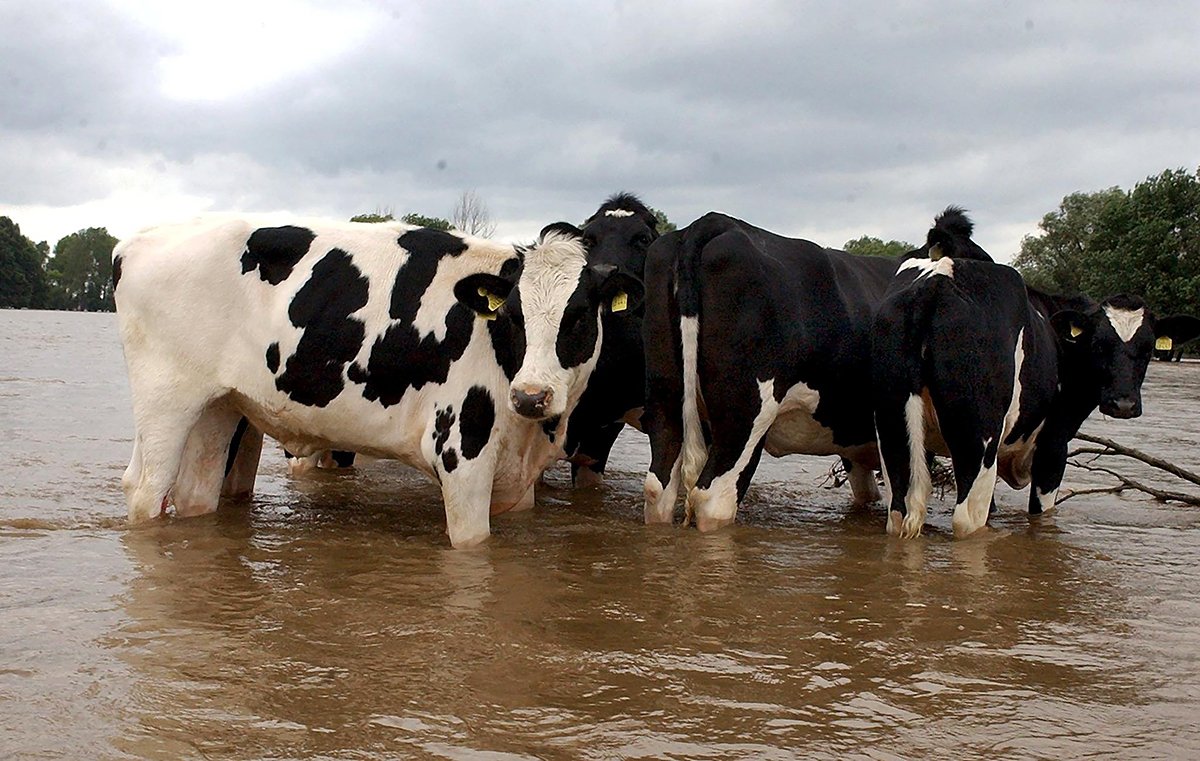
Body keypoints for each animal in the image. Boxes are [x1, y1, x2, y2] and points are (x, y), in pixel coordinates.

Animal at [113, 214, 643, 544]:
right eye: (512, 316)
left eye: (579, 316)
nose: (531, 397)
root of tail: (135, 241)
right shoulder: (460, 453)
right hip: (166, 401)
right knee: (146, 490)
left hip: (219, 406)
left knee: (195, 492)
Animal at [868, 210, 1185, 535]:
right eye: (1098, 345)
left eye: (1147, 348)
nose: (1123, 404)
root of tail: (937, 282)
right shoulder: (1054, 444)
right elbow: (1042, 513)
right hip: (978, 442)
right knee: (966, 520)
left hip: (895, 431)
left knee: (901, 511)